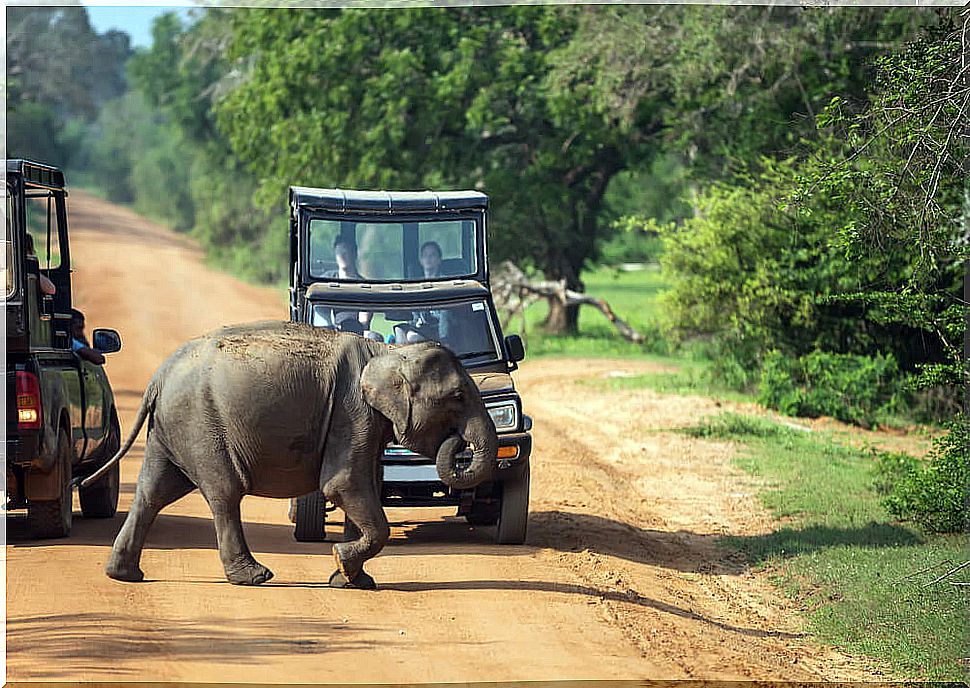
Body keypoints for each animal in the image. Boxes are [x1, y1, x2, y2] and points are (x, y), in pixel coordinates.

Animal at [81, 320, 492, 588]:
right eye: (458, 396)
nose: (457, 442)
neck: (389, 353)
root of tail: (158, 376)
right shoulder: (352, 412)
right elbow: (342, 485)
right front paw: (342, 564)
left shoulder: (365, 422)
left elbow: (364, 487)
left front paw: (352, 580)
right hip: (200, 424)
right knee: (223, 492)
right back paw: (254, 577)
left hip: (170, 429)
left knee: (153, 492)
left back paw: (124, 575)